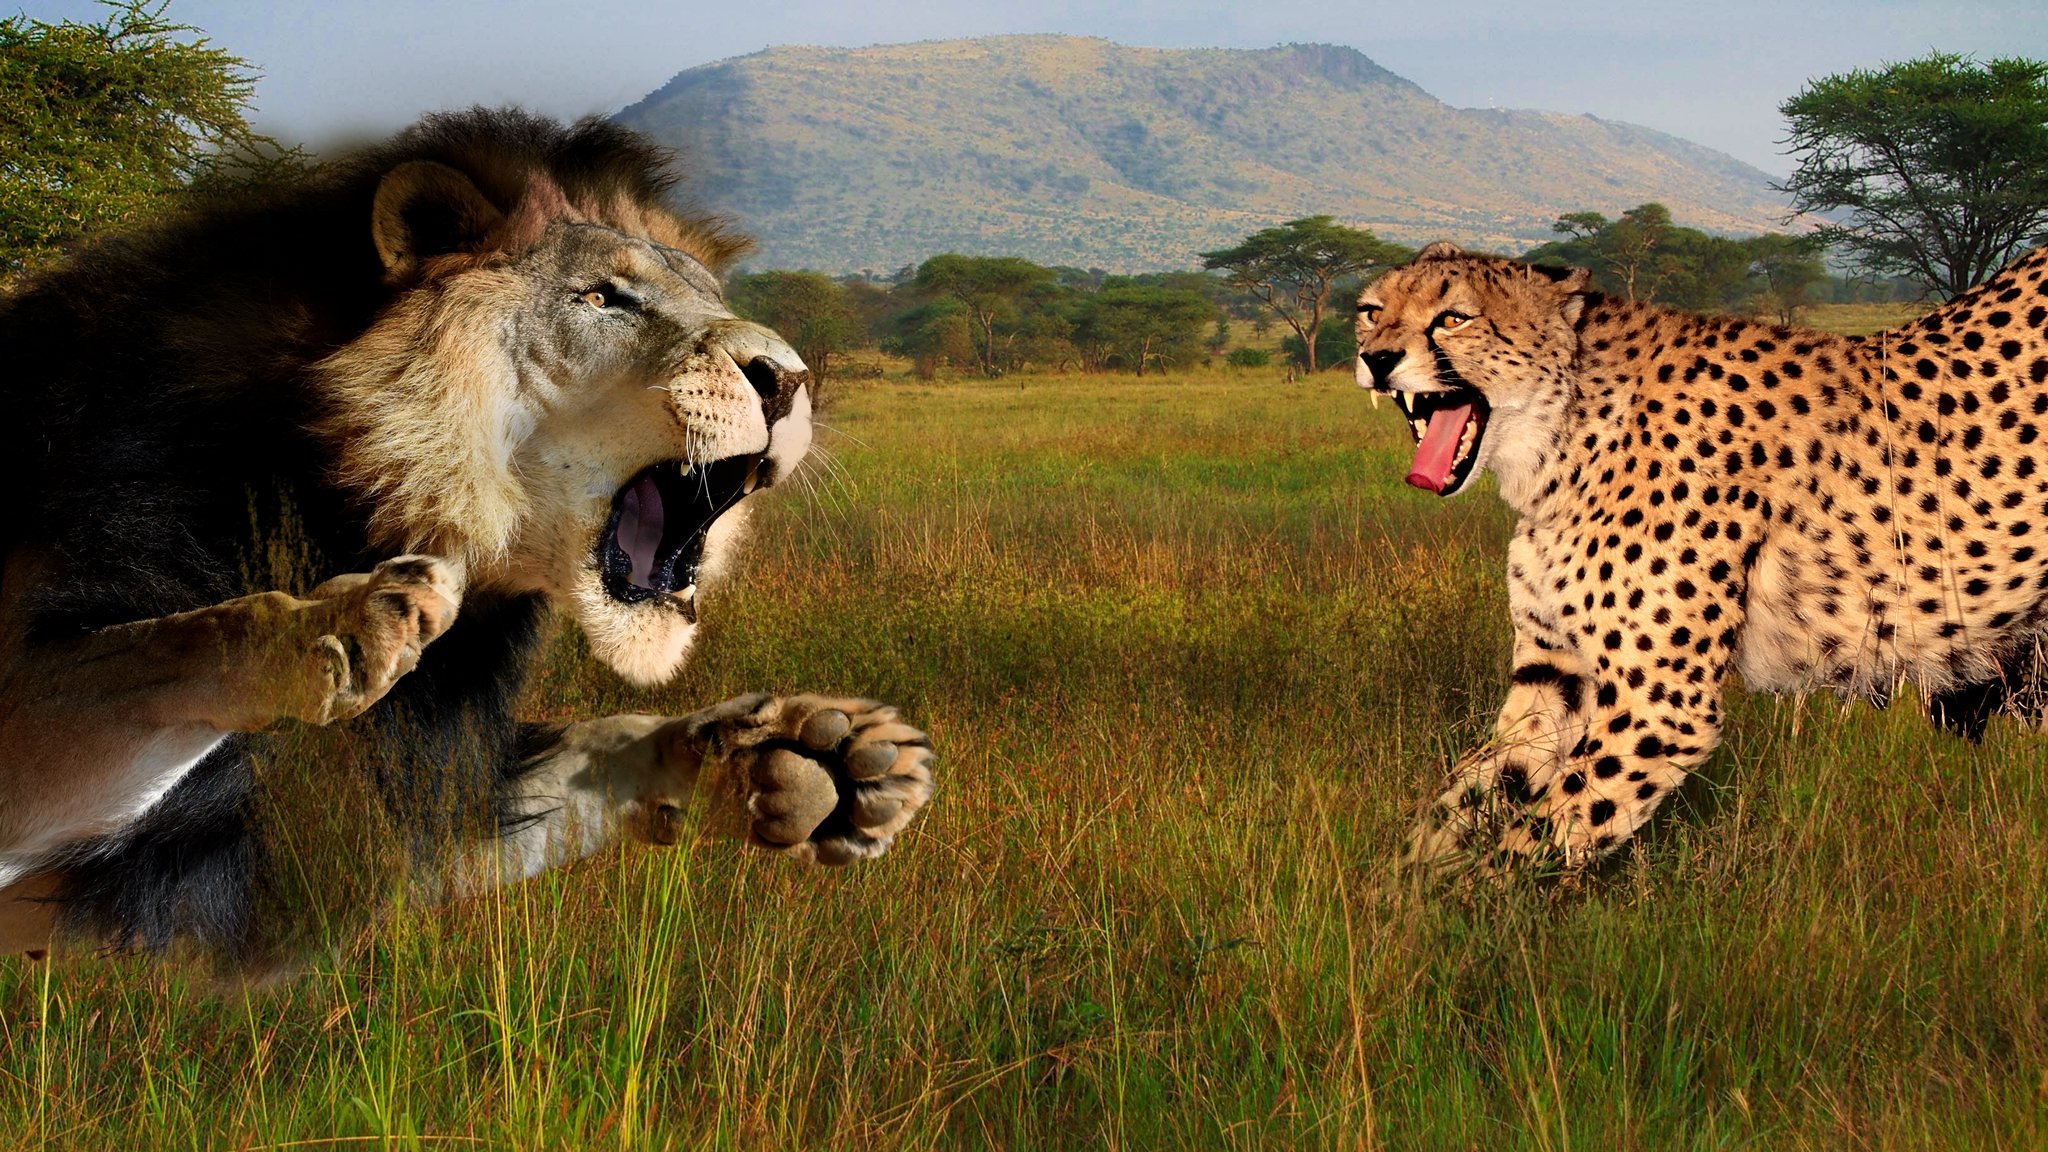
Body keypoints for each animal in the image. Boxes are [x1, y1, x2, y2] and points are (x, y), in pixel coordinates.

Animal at [0, 109, 934, 972]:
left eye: (714, 300)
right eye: (604, 298)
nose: (789, 379)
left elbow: (601, 744)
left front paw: (814, 755)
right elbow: (148, 652)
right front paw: (333, 622)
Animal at [1356, 239, 2048, 872]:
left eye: (1453, 317)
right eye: (1372, 311)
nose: (1375, 357)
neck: (1565, 433)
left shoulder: (1660, 705)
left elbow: (1536, 841)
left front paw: (1477, 908)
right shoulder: (1554, 674)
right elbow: (1464, 798)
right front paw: (1397, 900)